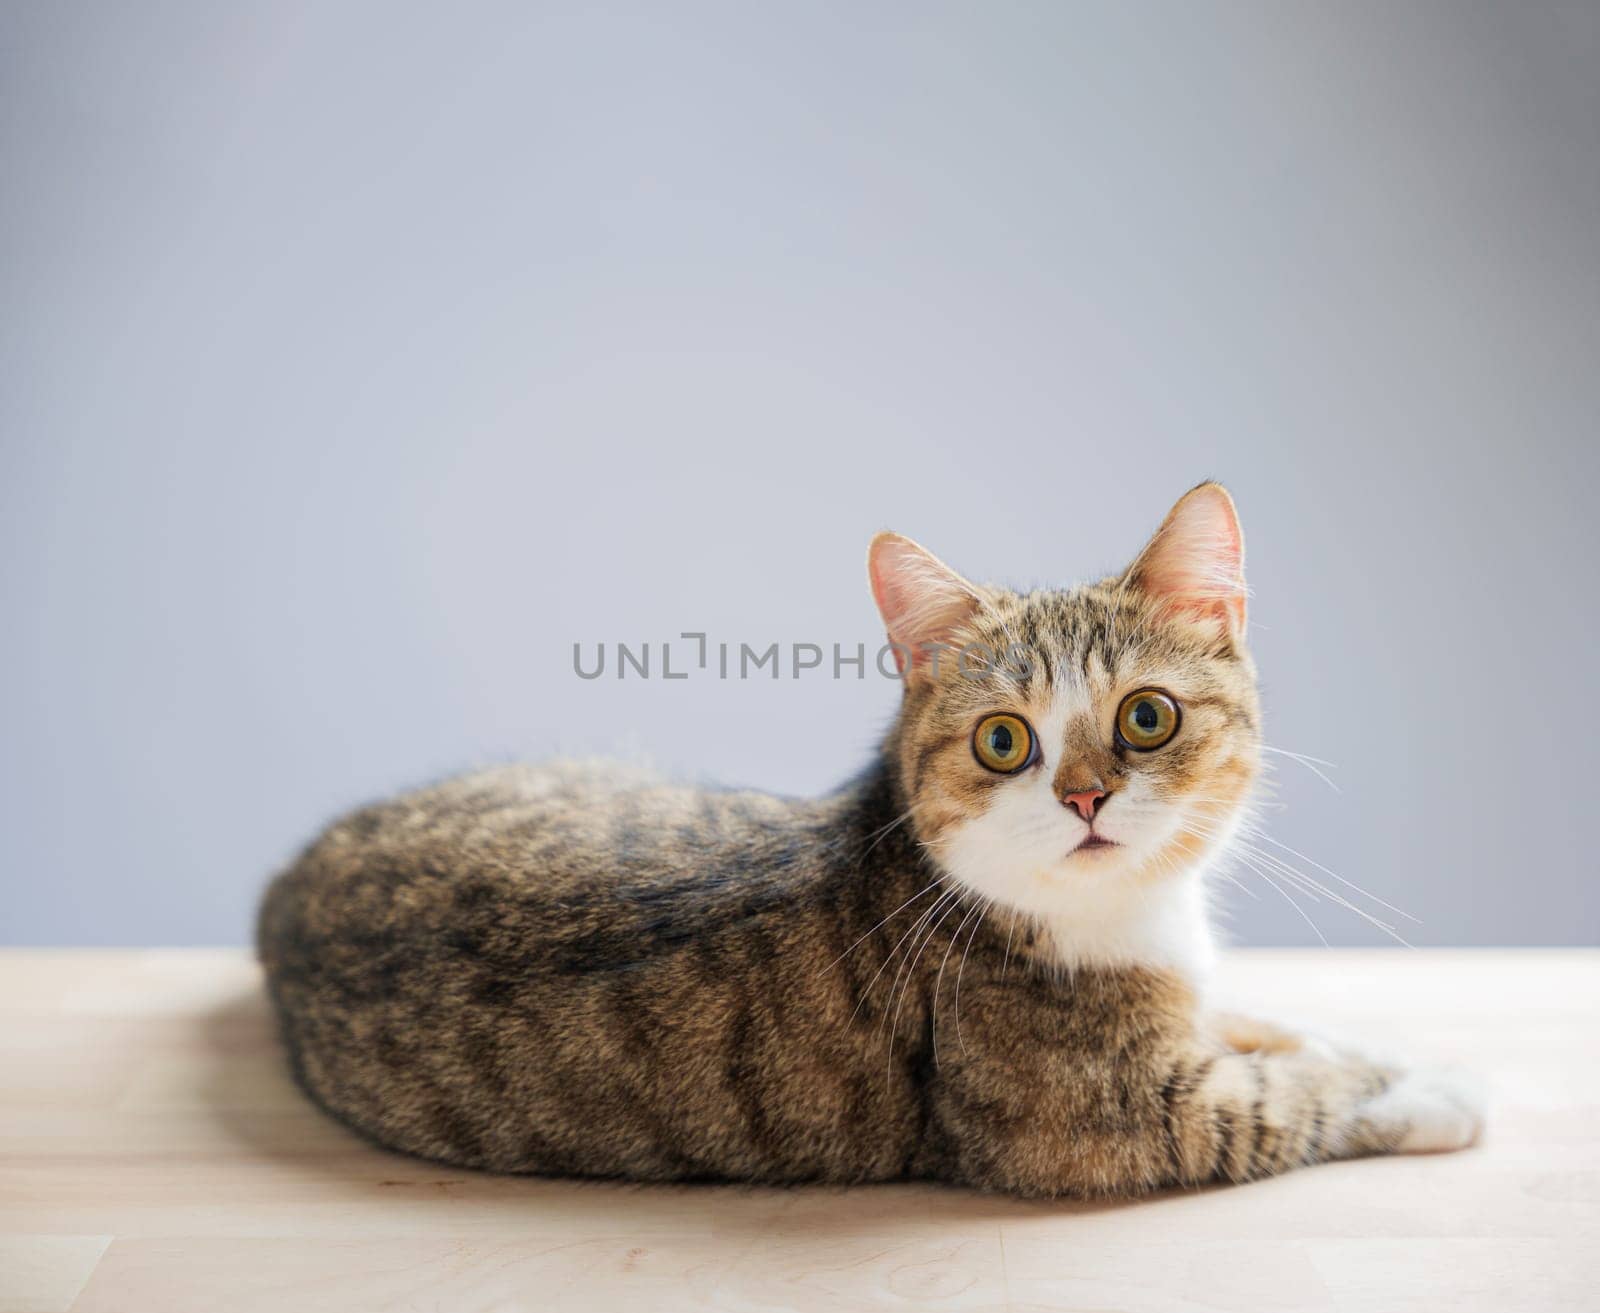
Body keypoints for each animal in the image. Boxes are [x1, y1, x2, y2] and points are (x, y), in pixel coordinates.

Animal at [256, 482, 1478, 1196]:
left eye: (1146, 716)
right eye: (1002, 739)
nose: (1084, 796)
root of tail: (286, 888)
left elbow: (1268, 1025)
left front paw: (1359, 1043)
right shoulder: (1107, 1121)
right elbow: (1284, 1102)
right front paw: (1425, 1092)